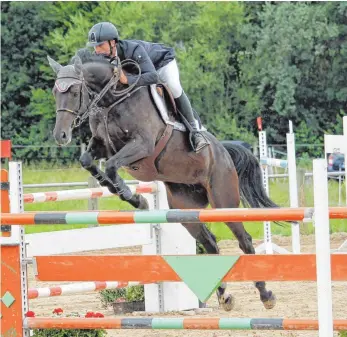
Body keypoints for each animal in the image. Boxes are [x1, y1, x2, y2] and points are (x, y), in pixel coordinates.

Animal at [48, 51, 278, 312]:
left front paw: (134, 198)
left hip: (223, 200)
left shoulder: (142, 145)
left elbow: (112, 165)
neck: (111, 101)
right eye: (55, 92)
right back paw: (224, 296)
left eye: (75, 91)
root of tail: (224, 152)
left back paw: (266, 295)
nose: (61, 136)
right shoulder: (102, 145)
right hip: (186, 210)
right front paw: (122, 192)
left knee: (244, 240)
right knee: (210, 243)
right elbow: (88, 160)